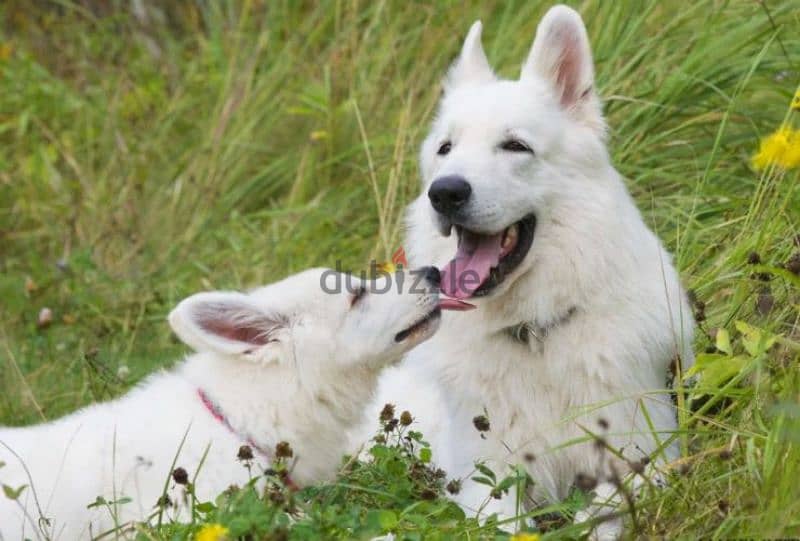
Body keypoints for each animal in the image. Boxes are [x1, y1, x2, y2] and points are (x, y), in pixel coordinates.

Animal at [362, 5, 692, 540]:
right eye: (446, 149)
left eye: (515, 146)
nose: (444, 193)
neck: (535, 331)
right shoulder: (485, 480)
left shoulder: (645, 455)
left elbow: (601, 514)